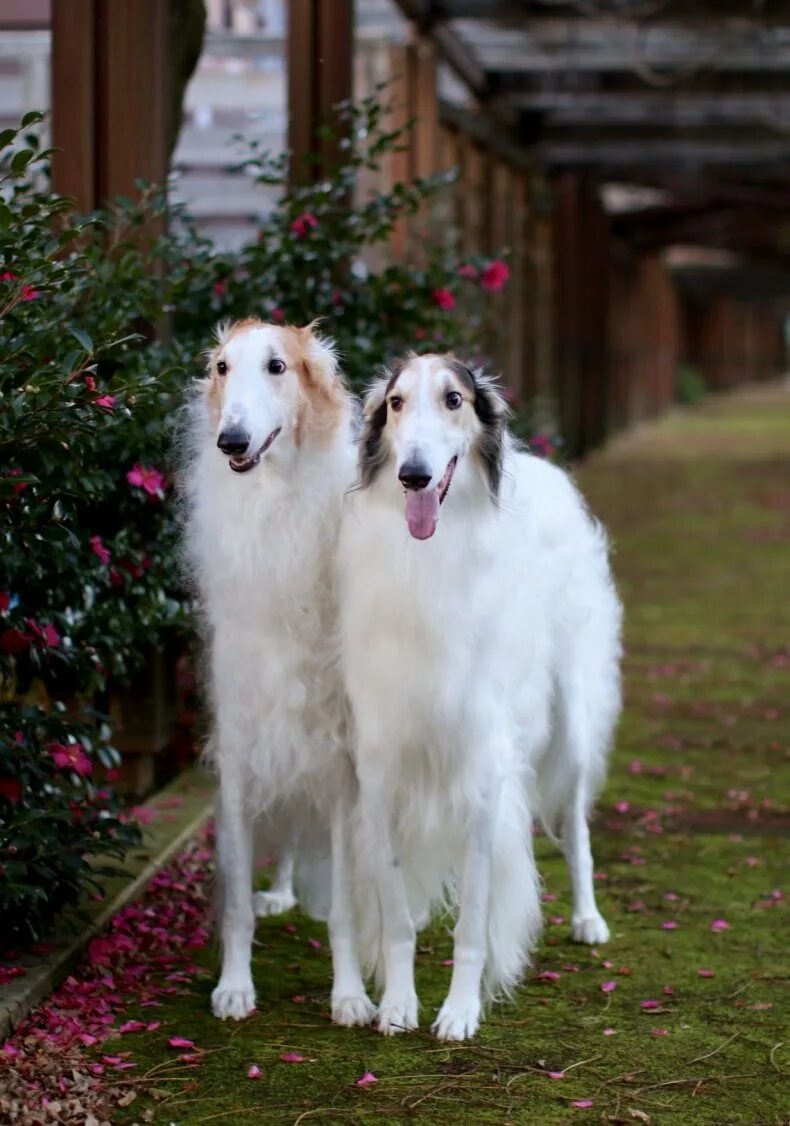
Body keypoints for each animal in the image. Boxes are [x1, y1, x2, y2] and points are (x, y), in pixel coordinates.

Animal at [184, 322, 375, 1026]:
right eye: (221, 366)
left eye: (277, 366)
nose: (231, 441)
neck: (274, 513)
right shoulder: (240, 757)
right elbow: (237, 904)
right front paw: (234, 987)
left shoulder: (342, 765)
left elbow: (346, 909)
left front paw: (351, 995)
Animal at [339, 355, 625, 1040]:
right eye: (394, 403)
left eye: (454, 399)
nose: (414, 473)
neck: (431, 557)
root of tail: (547, 467)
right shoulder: (382, 766)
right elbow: (395, 913)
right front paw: (398, 1003)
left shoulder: (483, 768)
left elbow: (473, 921)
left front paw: (460, 1010)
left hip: (573, 720)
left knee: (577, 826)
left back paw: (588, 918)